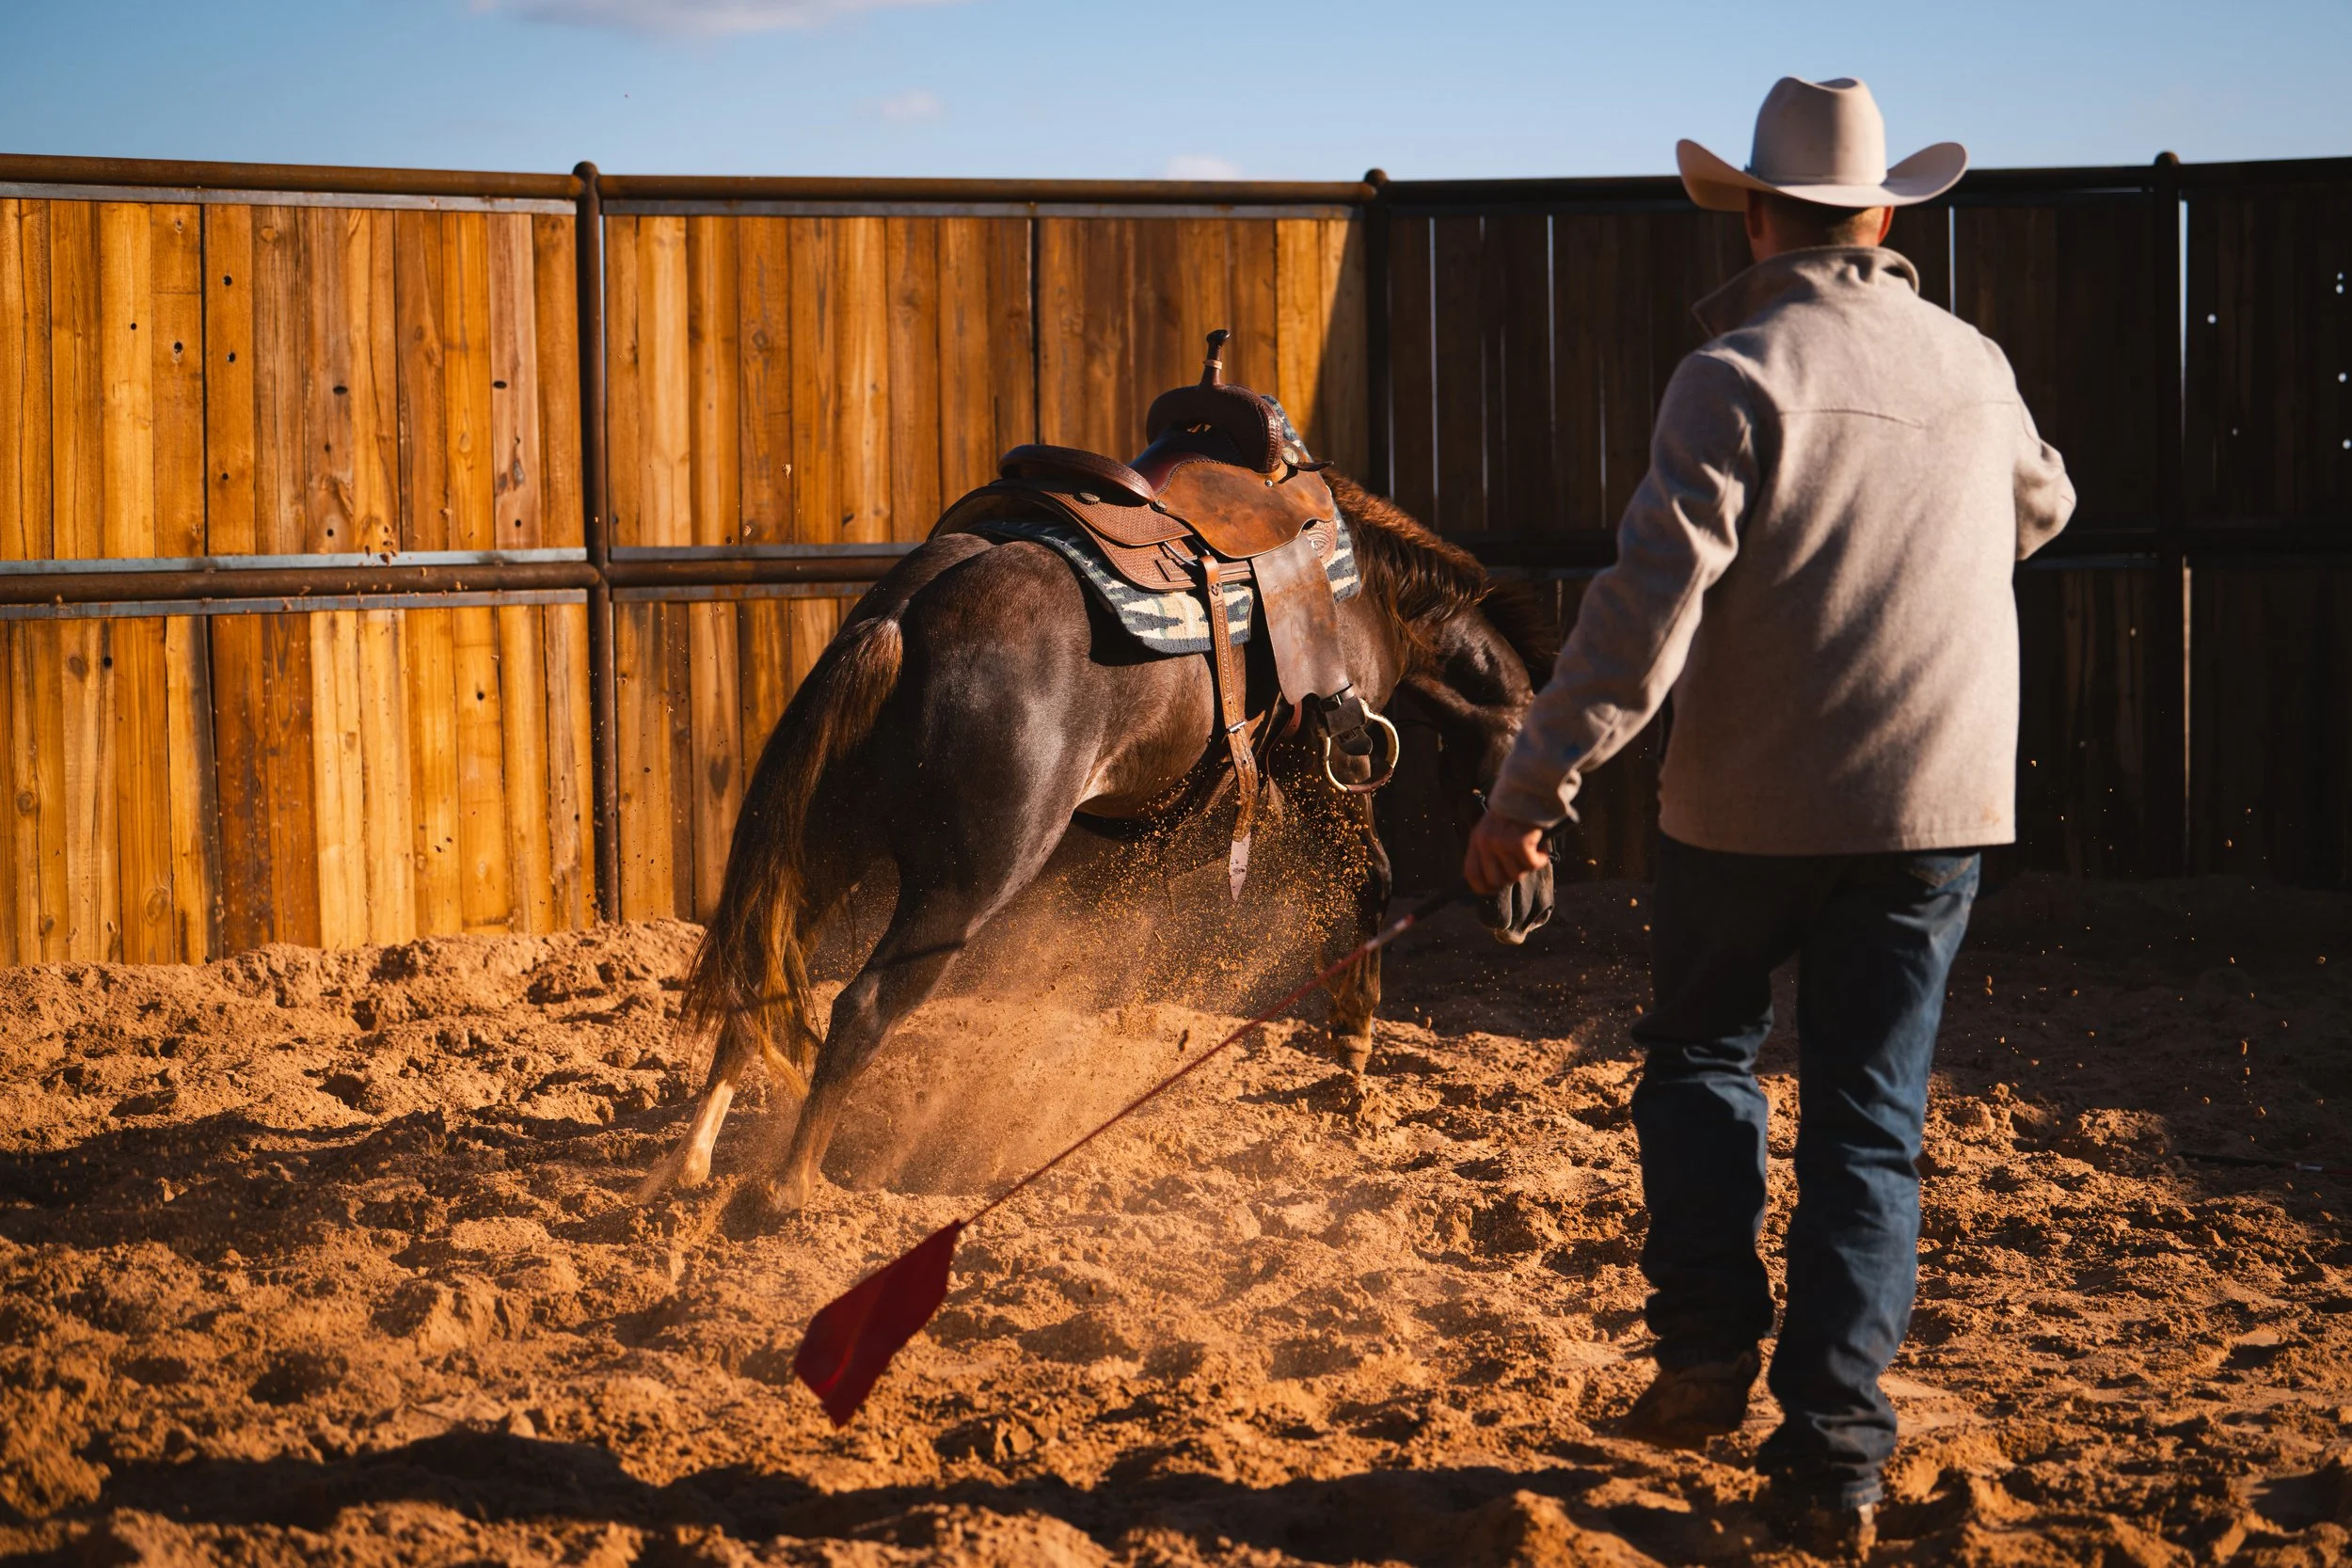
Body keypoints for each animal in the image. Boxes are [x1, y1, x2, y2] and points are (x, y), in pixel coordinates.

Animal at [634, 471, 1558, 1214]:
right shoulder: (1333, 760)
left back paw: (688, 1161)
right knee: (859, 1007)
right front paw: (1354, 1050)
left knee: (758, 977)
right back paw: (791, 1186)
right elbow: (1370, 878)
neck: (1366, 587)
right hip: (960, 889)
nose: (1533, 907)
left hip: (832, 849)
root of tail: (904, 613)